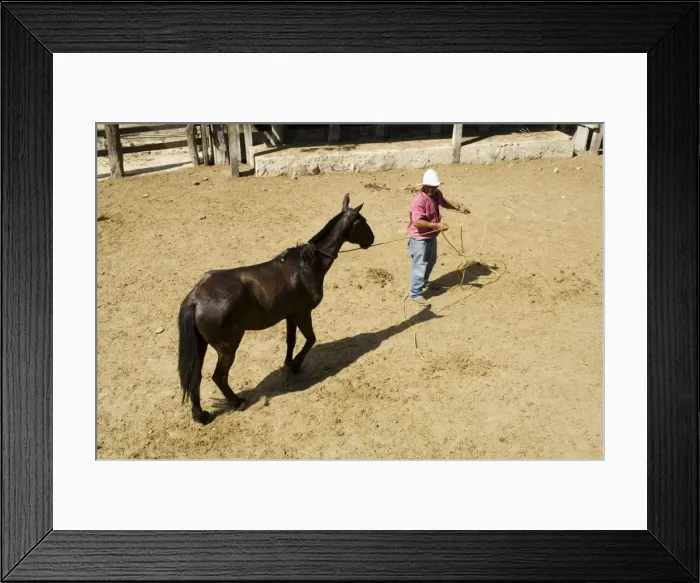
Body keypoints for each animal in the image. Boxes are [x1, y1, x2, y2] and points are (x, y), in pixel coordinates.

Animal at [178, 193, 375, 424]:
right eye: (363, 222)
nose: (371, 239)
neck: (309, 264)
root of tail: (196, 298)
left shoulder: (290, 315)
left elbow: (291, 340)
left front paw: (289, 363)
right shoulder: (303, 313)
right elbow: (310, 339)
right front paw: (295, 365)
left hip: (201, 346)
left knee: (195, 376)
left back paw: (200, 415)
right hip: (227, 347)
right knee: (219, 377)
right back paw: (236, 401)